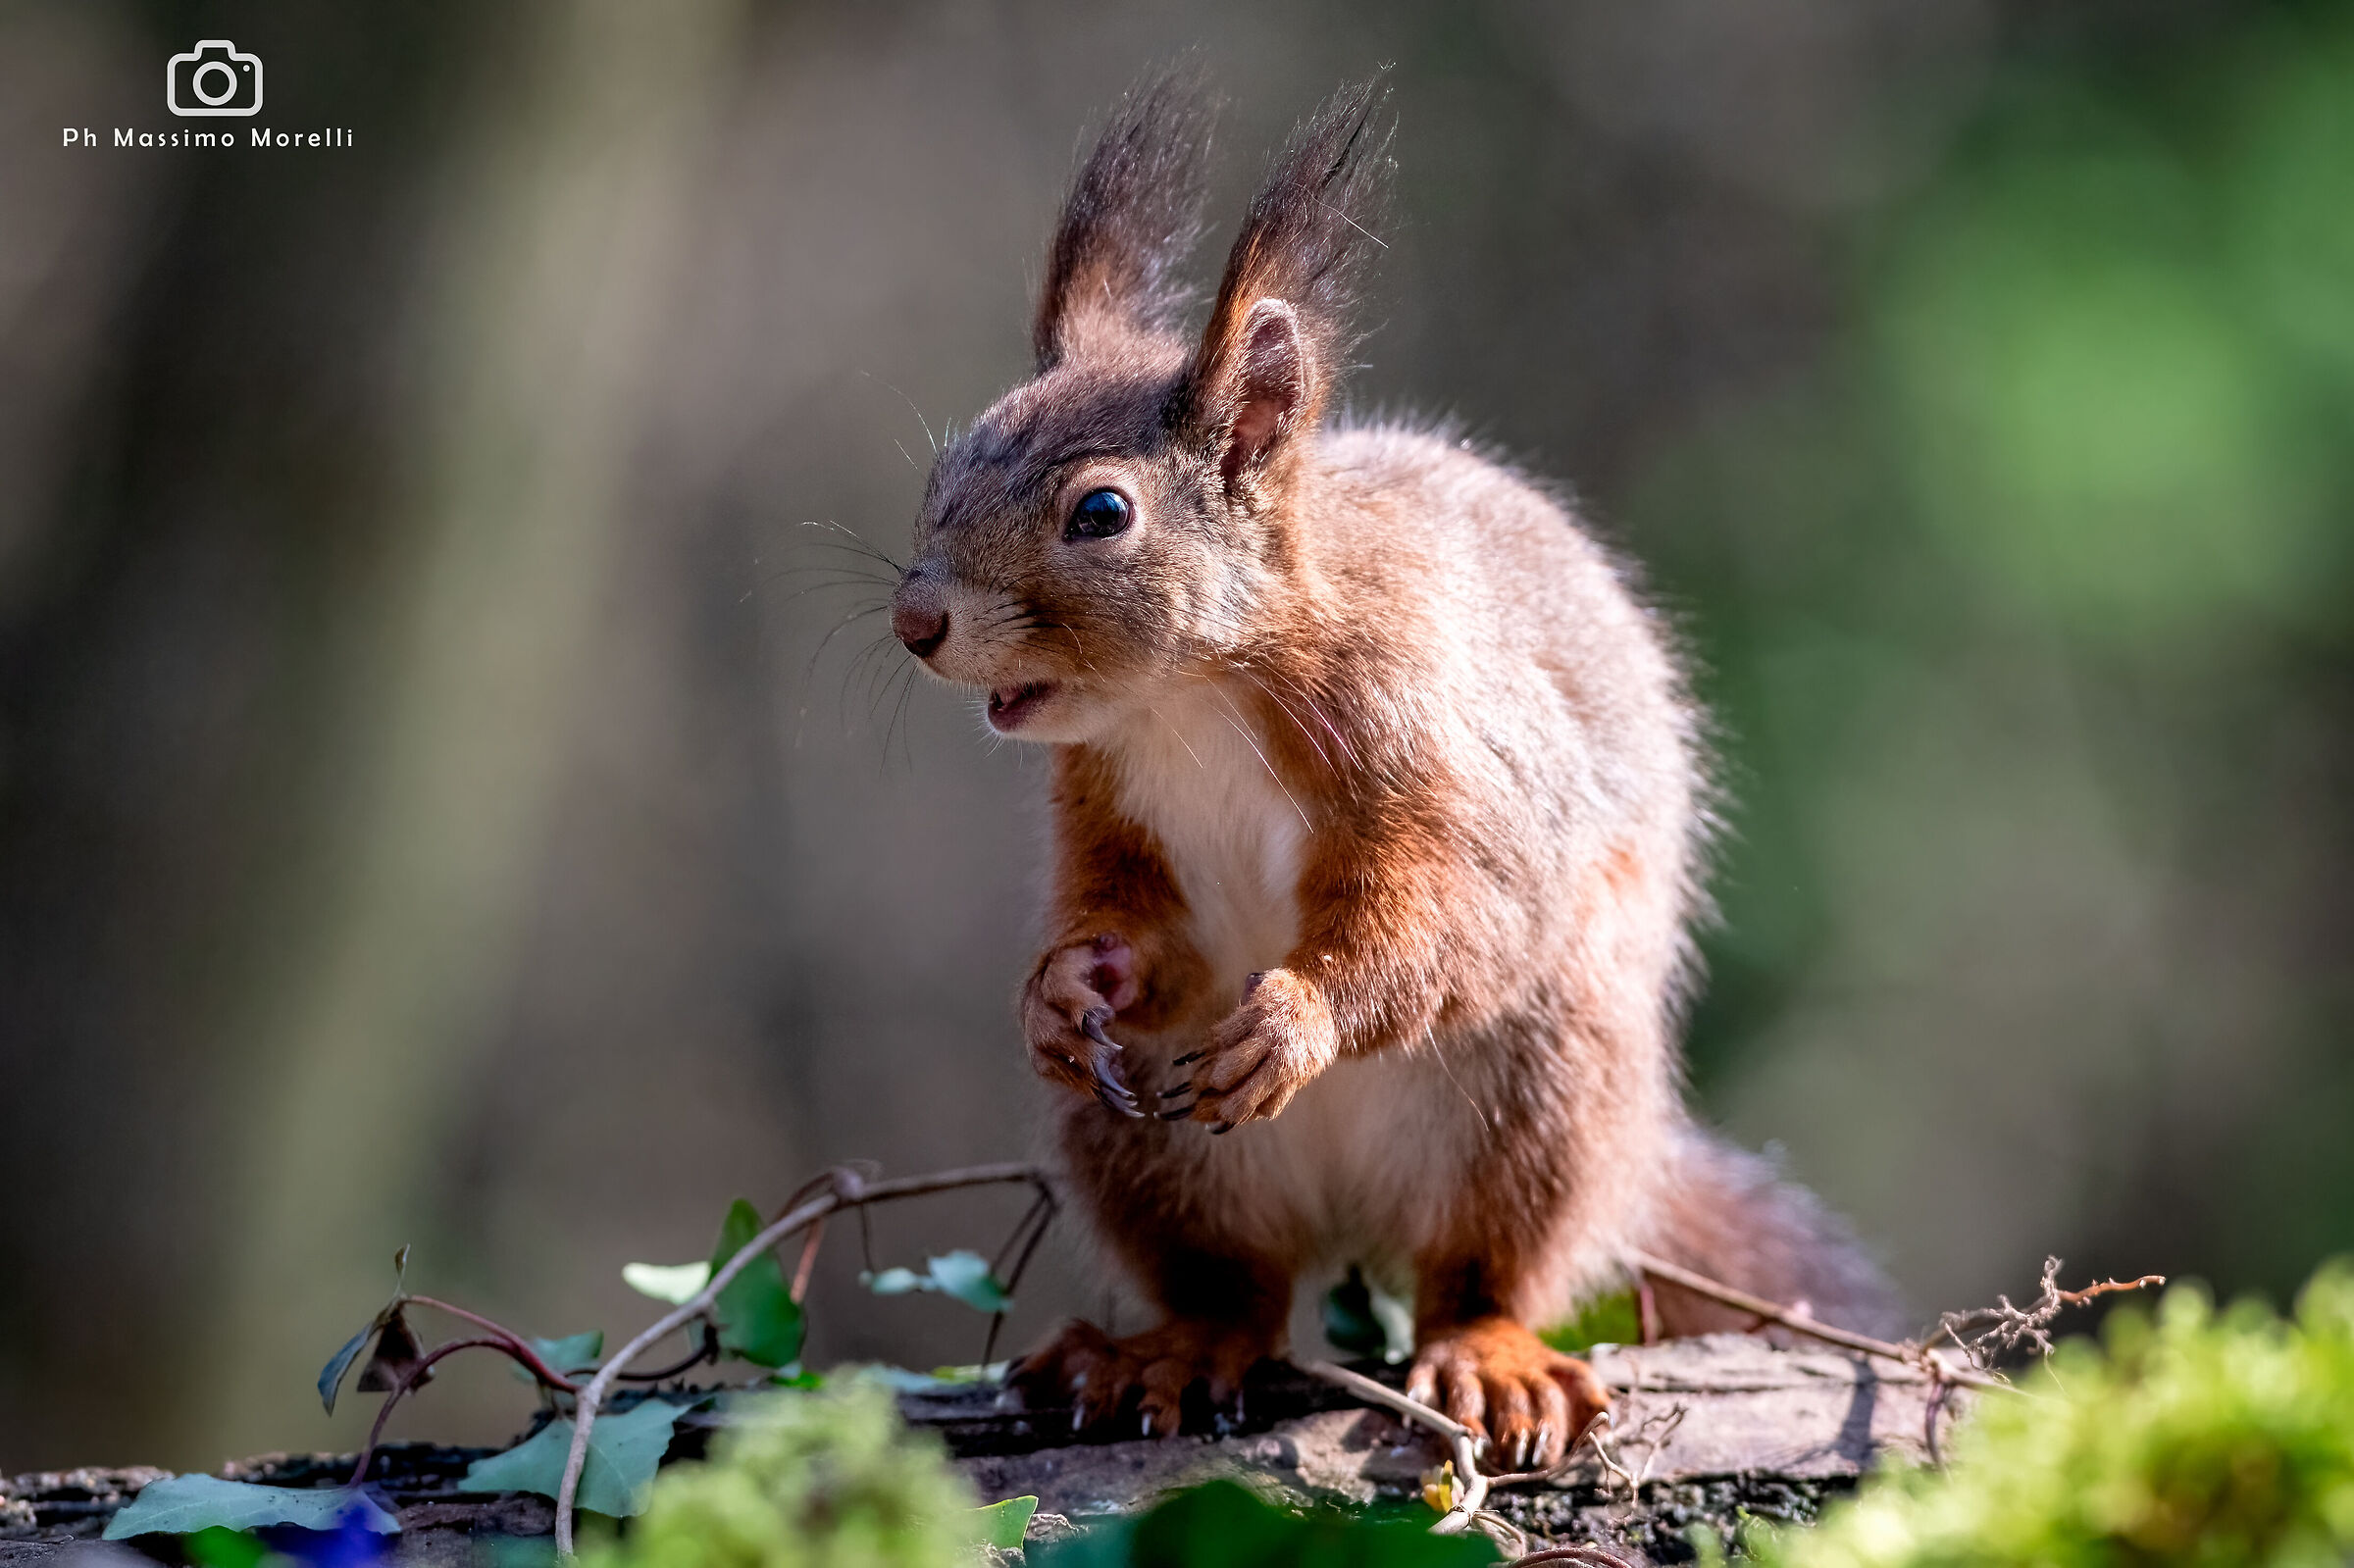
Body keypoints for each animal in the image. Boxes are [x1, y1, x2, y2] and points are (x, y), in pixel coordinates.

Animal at [886, 73, 1901, 1469]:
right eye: (946, 466)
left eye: (1101, 512)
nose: (914, 620)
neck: (1187, 696)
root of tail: (1347, 1212)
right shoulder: (1103, 801)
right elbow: (1139, 929)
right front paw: (1062, 986)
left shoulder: (1440, 743)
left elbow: (1457, 917)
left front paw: (1301, 1019)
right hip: (1148, 1146)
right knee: (1237, 1294)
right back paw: (1166, 1349)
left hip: (1540, 1091)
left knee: (1479, 1270)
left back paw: (1491, 1357)